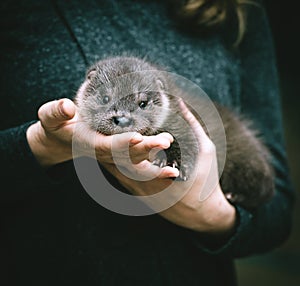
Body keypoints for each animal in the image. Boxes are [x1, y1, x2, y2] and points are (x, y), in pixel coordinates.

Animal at [75, 55, 274, 209]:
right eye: (105, 98)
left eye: (142, 103)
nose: (122, 120)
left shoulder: (183, 123)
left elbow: (187, 143)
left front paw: (176, 165)